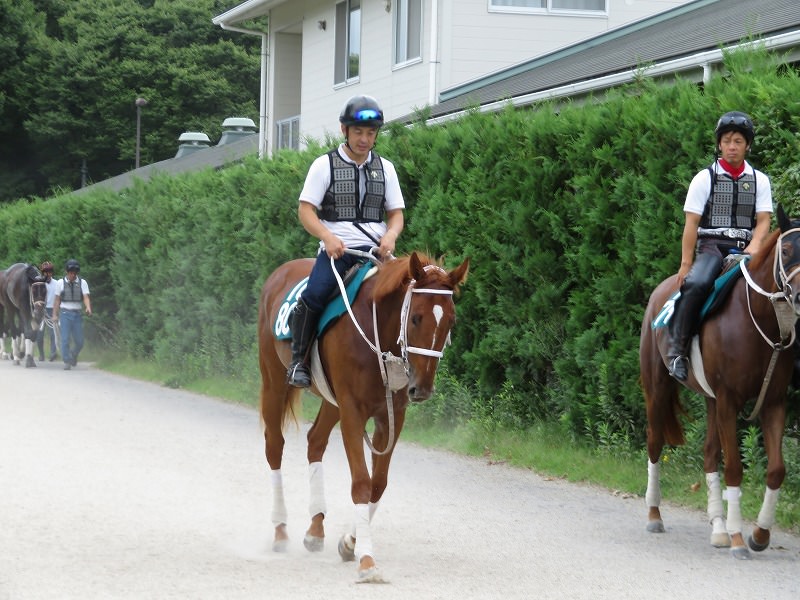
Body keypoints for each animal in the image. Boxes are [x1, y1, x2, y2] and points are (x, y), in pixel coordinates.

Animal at [256, 250, 468, 580]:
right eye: (416, 317)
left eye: (450, 321)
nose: (421, 388)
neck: (377, 333)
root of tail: (281, 272)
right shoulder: (353, 413)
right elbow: (361, 483)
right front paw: (367, 561)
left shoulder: (391, 417)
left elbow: (377, 485)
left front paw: (349, 542)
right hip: (274, 380)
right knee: (274, 446)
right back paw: (280, 530)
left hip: (331, 401)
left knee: (315, 441)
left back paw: (315, 529)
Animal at [640, 205, 800, 556]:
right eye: (785, 250)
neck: (759, 319)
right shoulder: (729, 400)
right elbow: (735, 468)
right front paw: (740, 539)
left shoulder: (773, 402)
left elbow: (776, 469)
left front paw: (759, 535)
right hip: (657, 389)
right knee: (655, 443)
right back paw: (654, 515)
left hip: (710, 400)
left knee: (709, 453)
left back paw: (717, 528)